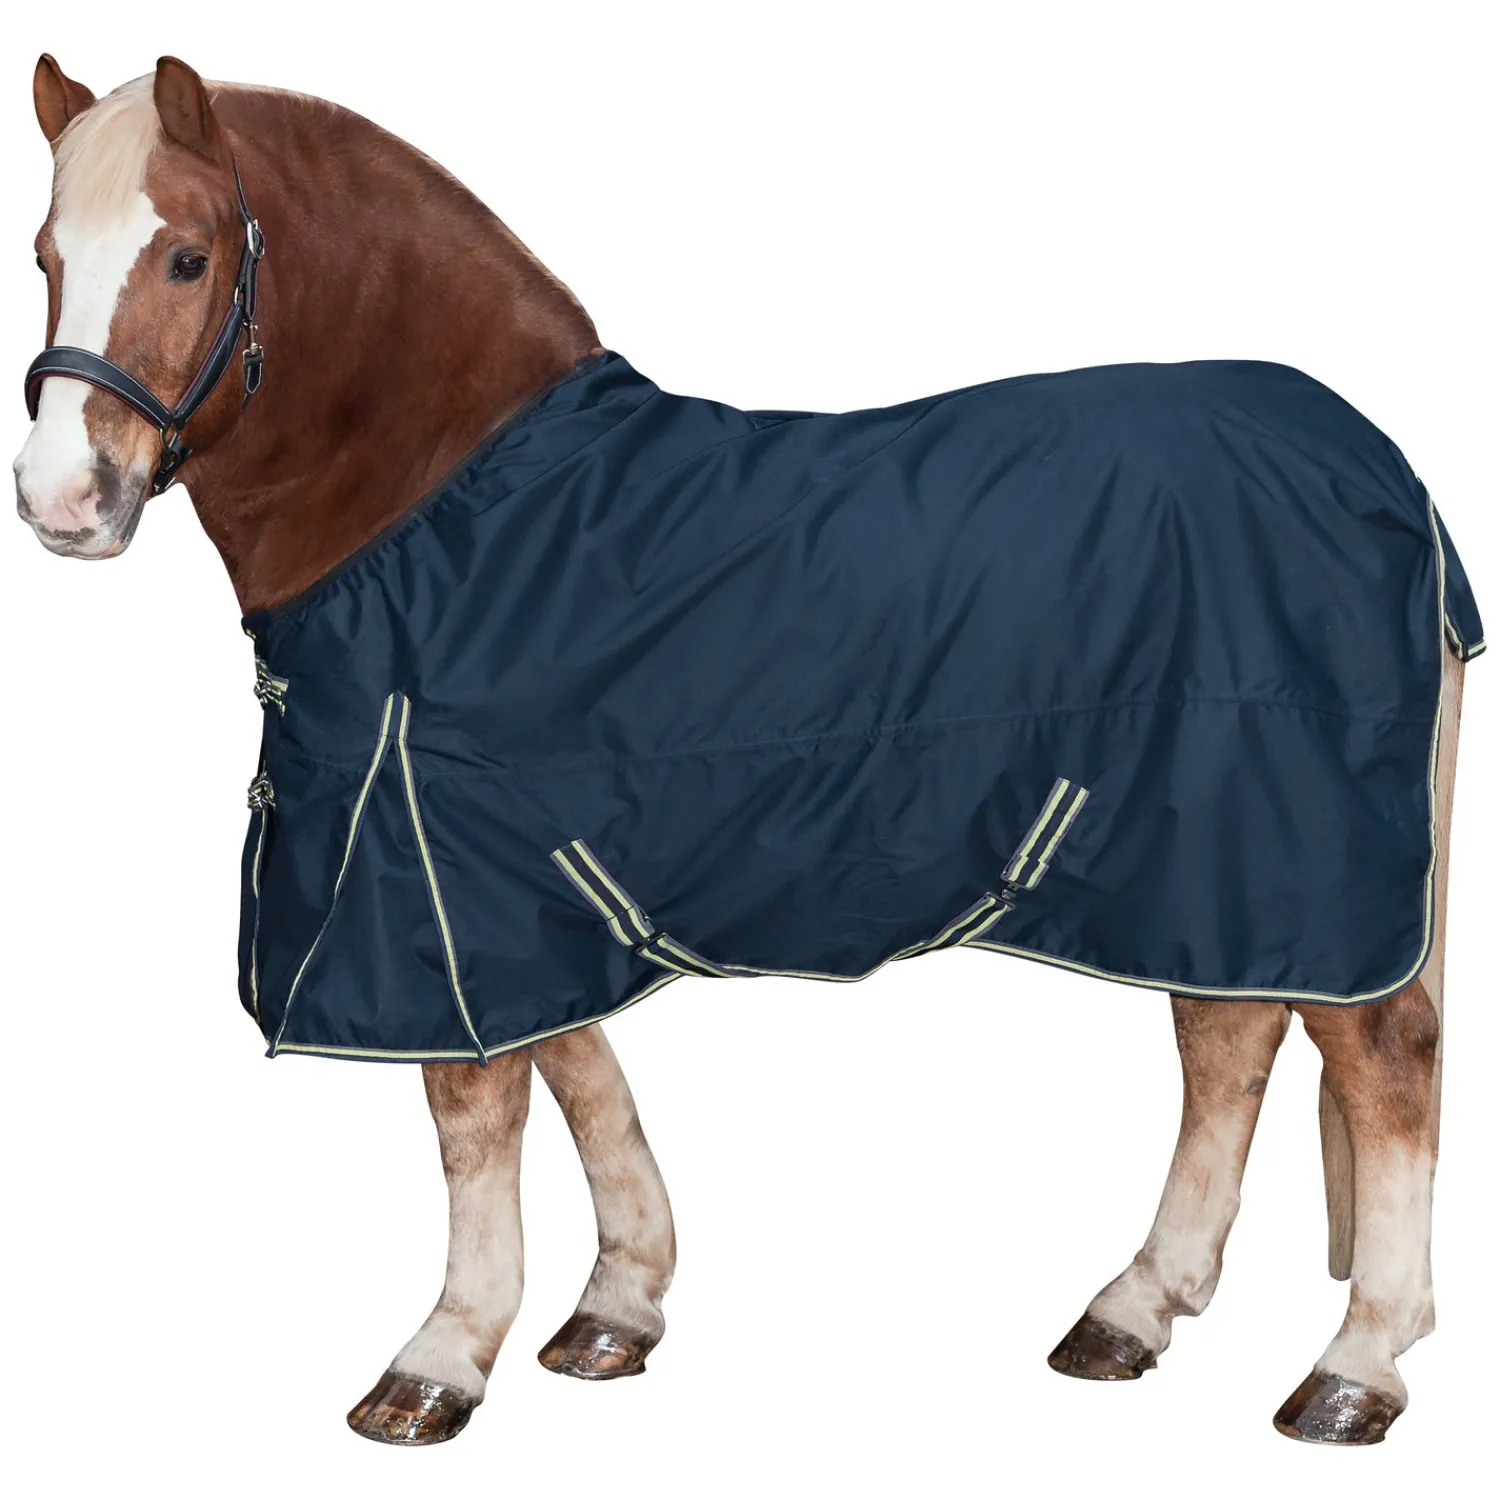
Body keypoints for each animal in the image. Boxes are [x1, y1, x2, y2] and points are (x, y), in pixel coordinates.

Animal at [14, 54, 1471, 1448]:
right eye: (42, 255)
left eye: (186, 256)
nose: (61, 498)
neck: (457, 520)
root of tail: (1378, 469)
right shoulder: (525, 874)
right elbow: (579, 1067)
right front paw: (616, 1306)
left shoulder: (429, 868)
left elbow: (477, 1115)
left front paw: (439, 1360)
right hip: (1213, 857)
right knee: (1229, 1038)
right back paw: (1132, 1312)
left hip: (1300, 848)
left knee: (1385, 1059)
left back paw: (1353, 1371)